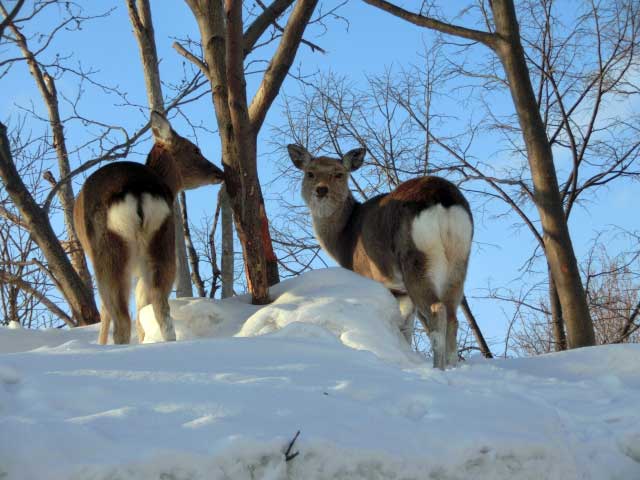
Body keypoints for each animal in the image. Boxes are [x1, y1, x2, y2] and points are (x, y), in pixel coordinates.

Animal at [74, 111, 225, 344]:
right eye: (195, 149)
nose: (220, 172)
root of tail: (136, 190)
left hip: (108, 250)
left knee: (121, 315)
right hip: (162, 240)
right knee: (159, 306)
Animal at [288, 144, 472, 370]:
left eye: (339, 174)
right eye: (310, 173)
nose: (321, 190)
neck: (344, 239)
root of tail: (443, 200)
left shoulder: (368, 276)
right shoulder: (401, 291)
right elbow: (406, 329)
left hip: (417, 260)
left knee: (437, 310)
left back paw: (438, 368)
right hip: (459, 261)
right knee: (453, 316)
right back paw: (454, 367)